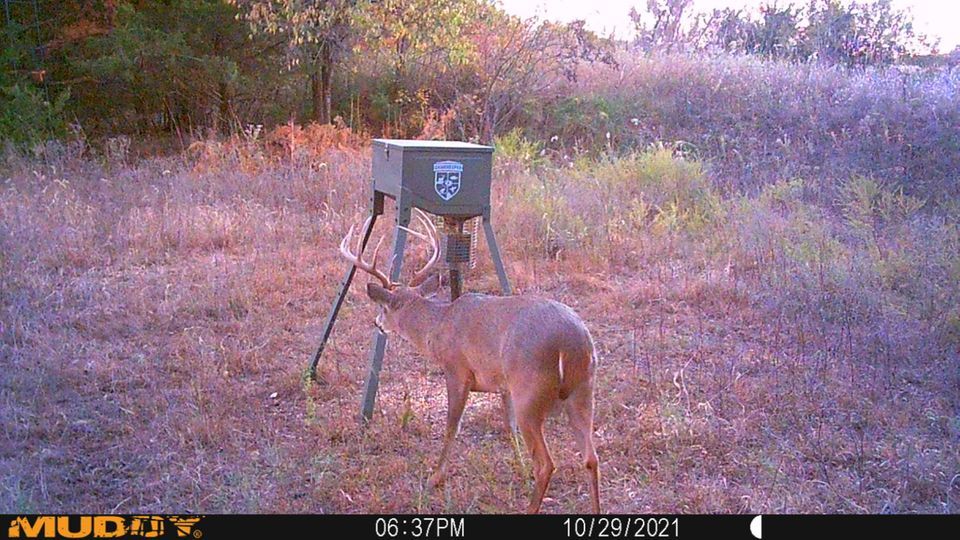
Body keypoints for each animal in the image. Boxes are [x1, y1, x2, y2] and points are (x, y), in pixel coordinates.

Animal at [338, 209, 601, 514]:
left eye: (383, 307)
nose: (376, 323)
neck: (438, 326)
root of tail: (573, 343)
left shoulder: (457, 370)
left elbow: (452, 424)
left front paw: (435, 477)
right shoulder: (502, 385)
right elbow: (508, 428)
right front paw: (518, 468)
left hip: (530, 390)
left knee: (547, 464)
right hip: (583, 390)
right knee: (591, 457)